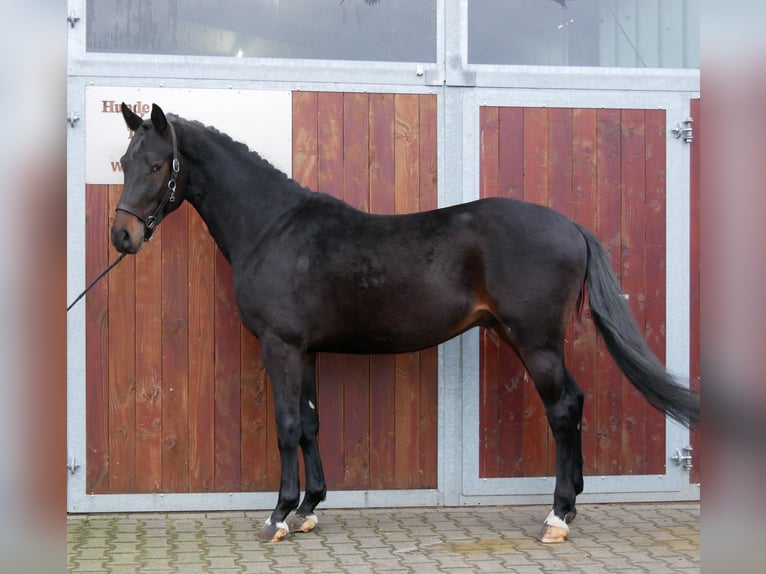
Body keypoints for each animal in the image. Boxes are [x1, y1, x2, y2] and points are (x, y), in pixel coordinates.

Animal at [112, 102, 704, 544]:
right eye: (123, 160)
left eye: (158, 164)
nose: (122, 237)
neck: (273, 227)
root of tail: (570, 226)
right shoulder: (306, 350)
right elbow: (310, 424)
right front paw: (309, 509)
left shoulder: (281, 346)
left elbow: (285, 426)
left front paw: (278, 515)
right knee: (574, 403)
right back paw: (572, 505)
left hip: (535, 341)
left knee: (563, 409)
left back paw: (557, 516)